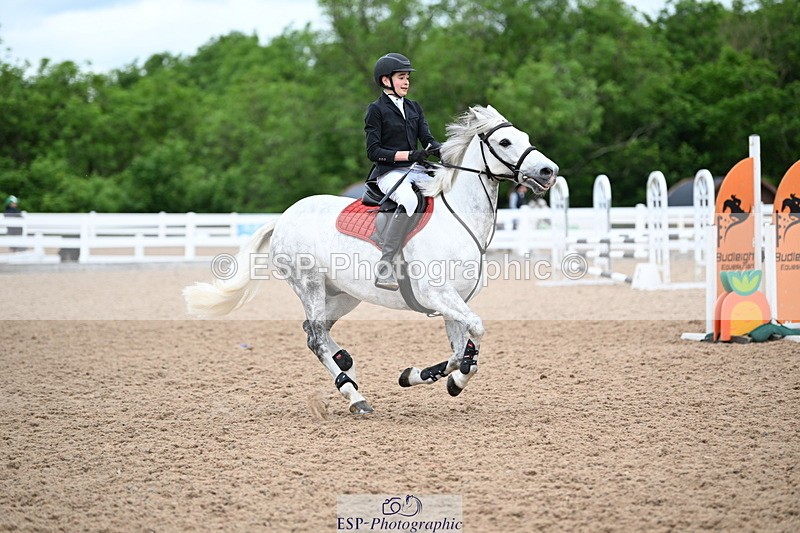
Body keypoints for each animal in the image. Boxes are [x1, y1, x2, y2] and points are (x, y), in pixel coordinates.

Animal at [183, 105, 559, 414]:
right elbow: (475, 334)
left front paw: (423, 376)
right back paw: (354, 395)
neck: (458, 219)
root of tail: (285, 216)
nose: (548, 171)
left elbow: (461, 353)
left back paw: (346, 364)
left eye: (525, 138)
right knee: (316, 337)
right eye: (506, 142)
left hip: (344, 294)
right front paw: (449, 379)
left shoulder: (454, 301)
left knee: (314, 331)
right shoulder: (438, 294)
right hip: (309, 284)